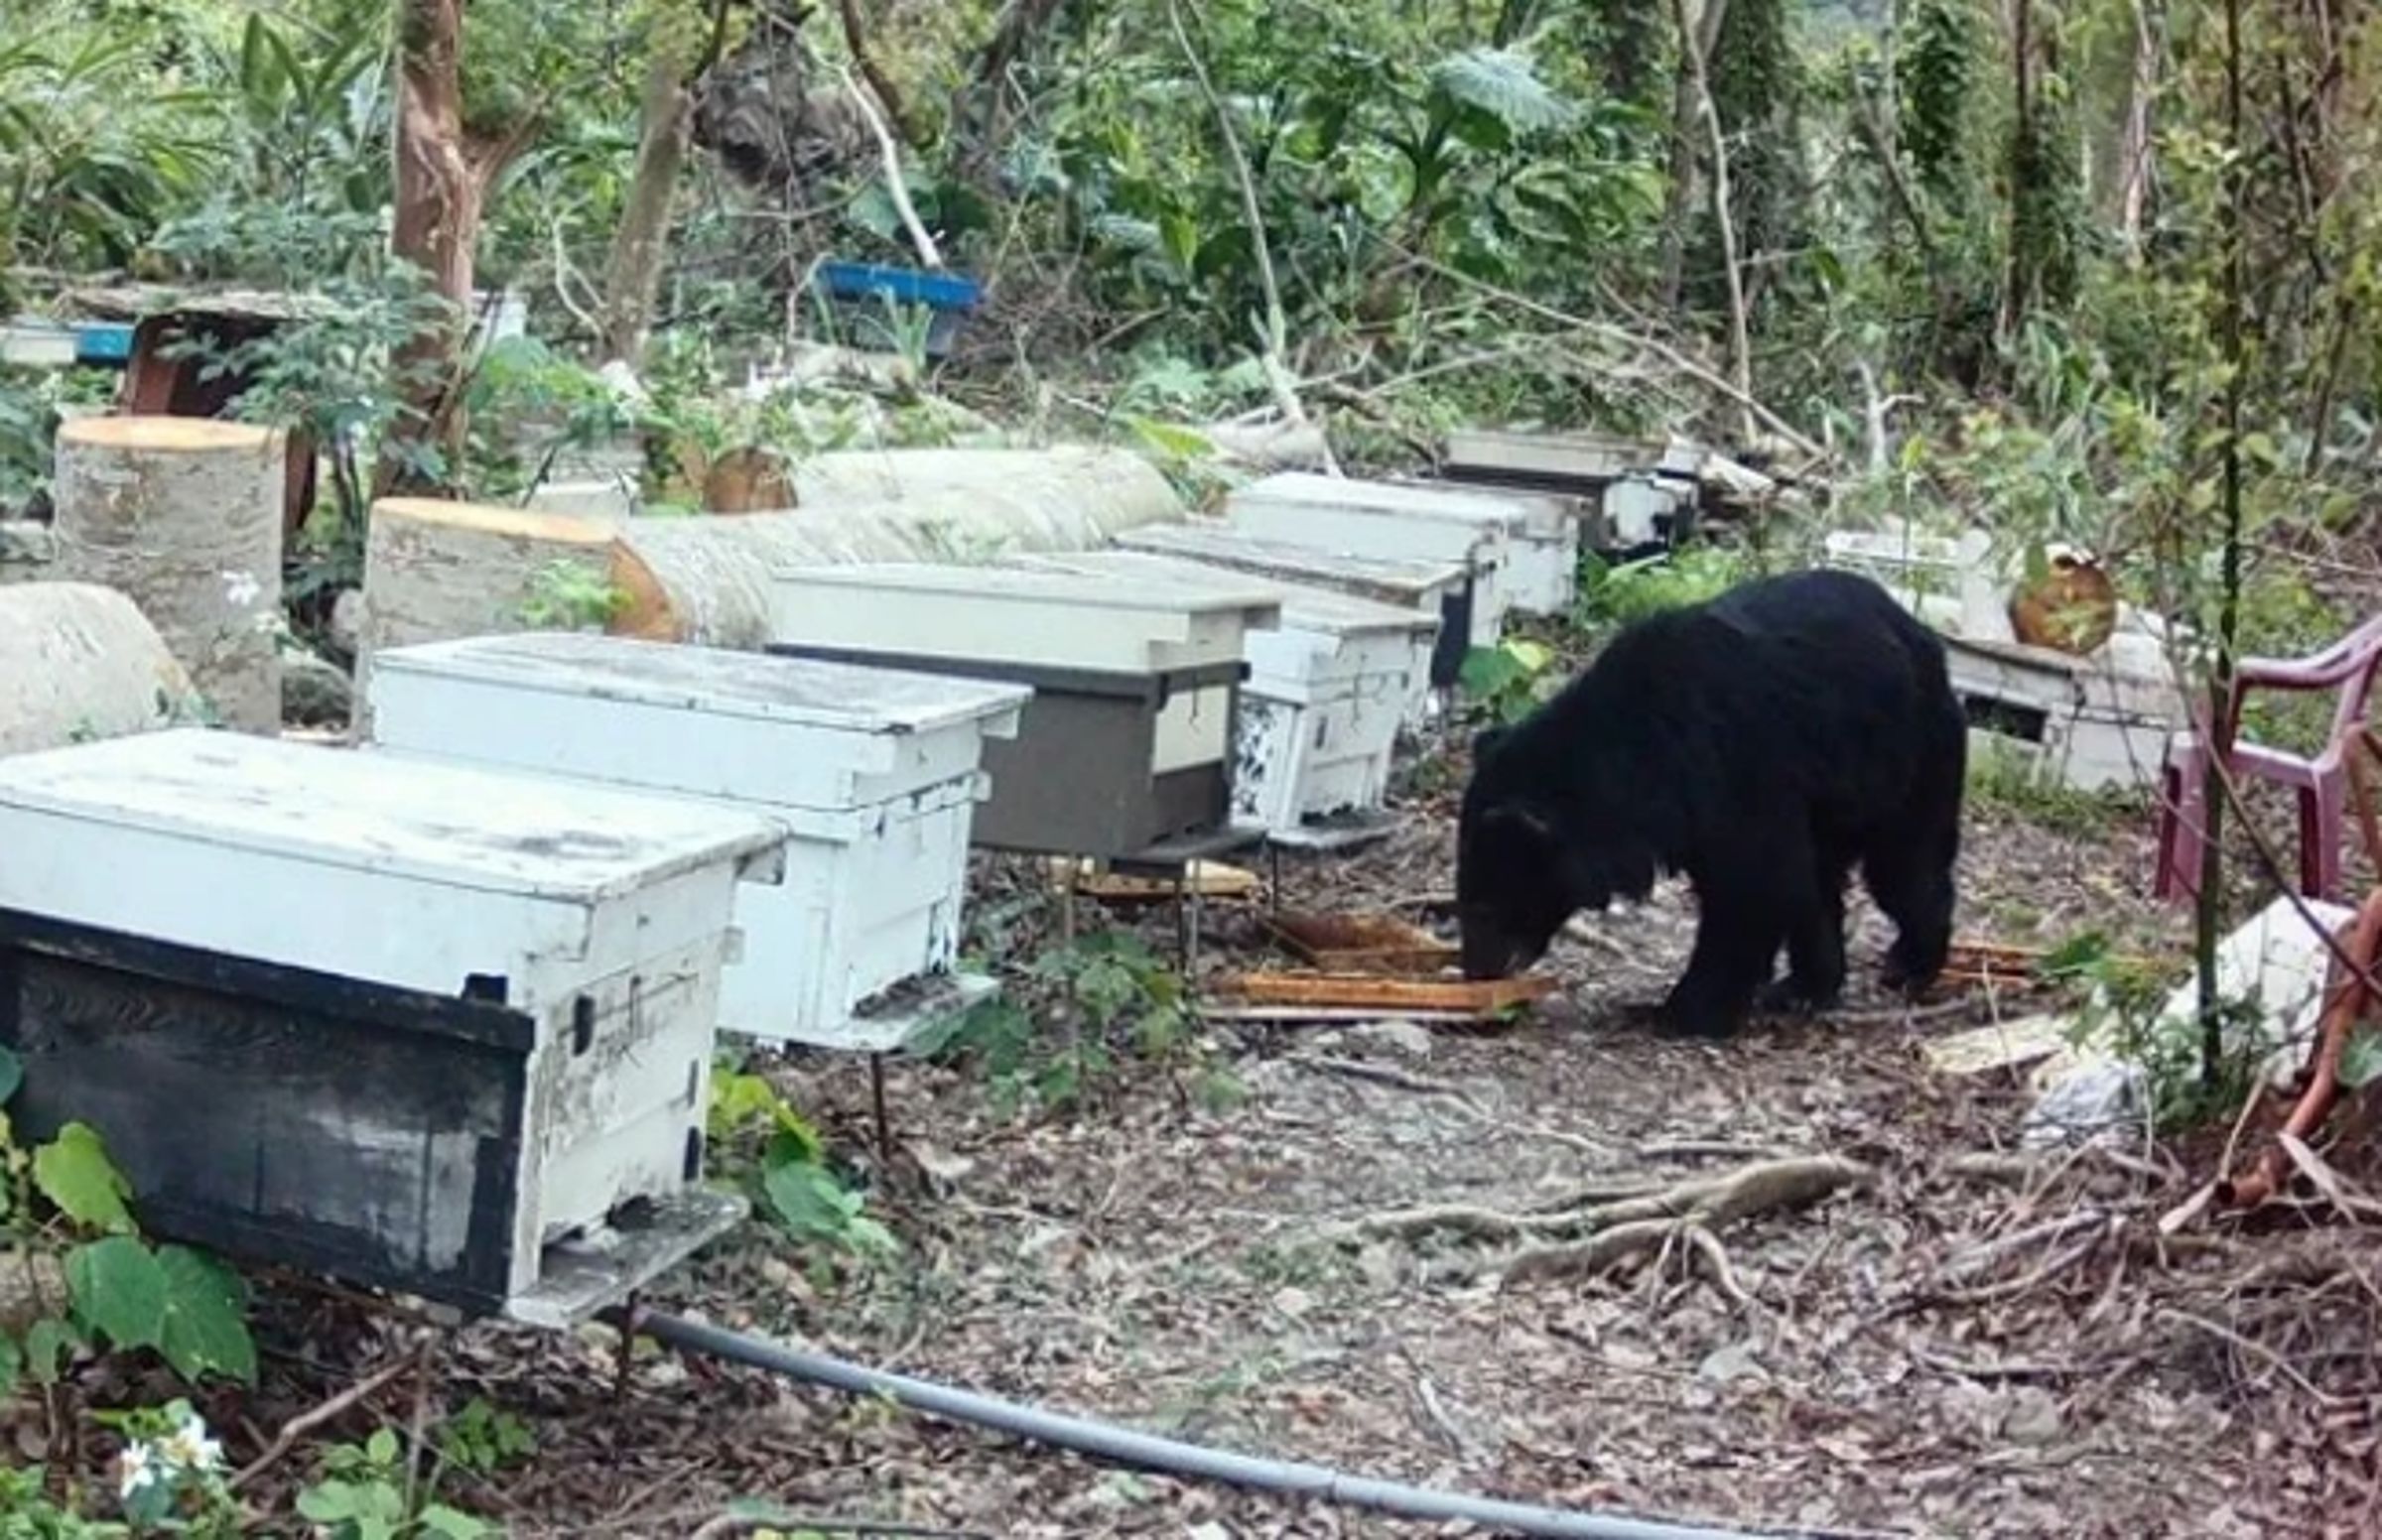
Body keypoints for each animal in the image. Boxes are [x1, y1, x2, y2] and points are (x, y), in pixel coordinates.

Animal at [1454, 567, 1967, 1040]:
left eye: (1484, 906)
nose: (1477, 971)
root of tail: (1924, 637)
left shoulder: (1738, 768)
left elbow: (1753, 888)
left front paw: (1677, 1013)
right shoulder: (1700, 814)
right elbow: (1786, 886)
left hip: (1910, 761)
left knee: (1906, 868)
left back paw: (1910, 966)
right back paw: (1806, 986)